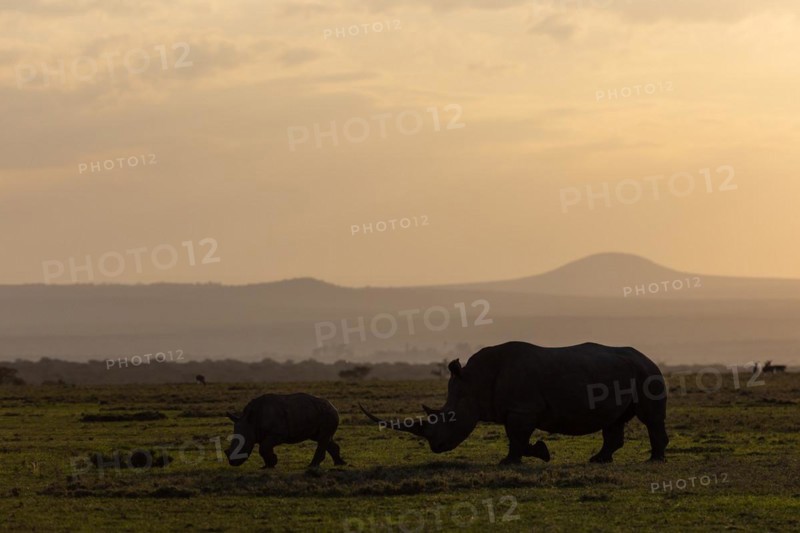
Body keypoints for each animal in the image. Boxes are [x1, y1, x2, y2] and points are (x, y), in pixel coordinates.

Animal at [361, 341, 668, 464]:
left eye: (449, 418)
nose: (435, 447)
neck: (474, 381)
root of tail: (648, 357)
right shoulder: (517, 410)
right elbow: (518, 438)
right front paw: (540, 453)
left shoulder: (522, 409)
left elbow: (516, 437)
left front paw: (509, 462)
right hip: (627, 371)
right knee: (613, 421)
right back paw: (598, 460)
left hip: (646, 373)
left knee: (650, 417)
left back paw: (654, 459)